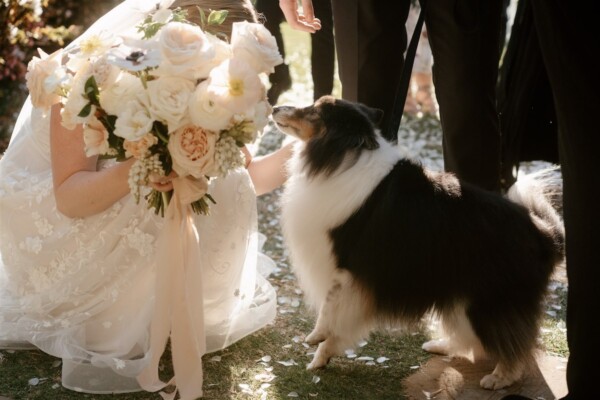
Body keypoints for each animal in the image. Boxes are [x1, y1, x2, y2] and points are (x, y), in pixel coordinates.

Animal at [274, 97, 564, 390]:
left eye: (315, 110)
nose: (275, 107)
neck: (342, 157)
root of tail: (545, 235)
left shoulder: (346, 268)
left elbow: (330, 307)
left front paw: (317, 345)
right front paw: (321, 351)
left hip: (491, 301)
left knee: (513, 343)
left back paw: (499, 378)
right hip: (461, 295)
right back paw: (440, 345)